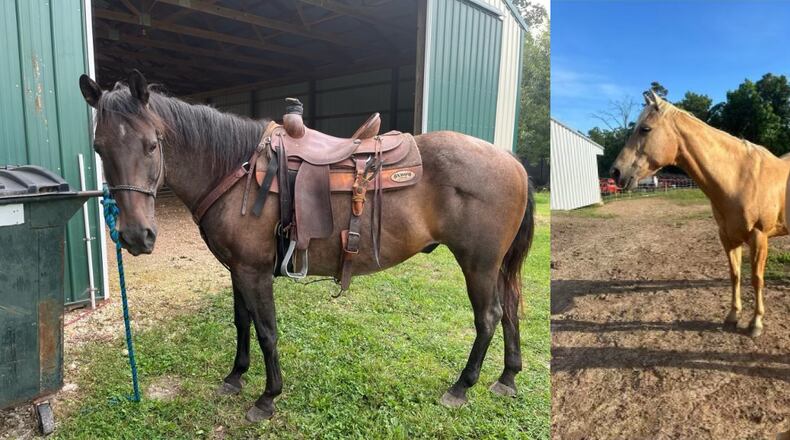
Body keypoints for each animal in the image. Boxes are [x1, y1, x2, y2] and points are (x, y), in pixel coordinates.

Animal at [78, 71, 535, 421]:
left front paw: (267, 398)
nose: (135, 236)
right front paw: (235, 377)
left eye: (152, 145)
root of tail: (512, 161)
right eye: (99, 148)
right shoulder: (236, 268)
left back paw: (462, 386)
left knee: (489, 317)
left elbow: (266, 330)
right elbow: (241, 322)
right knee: (511, 310)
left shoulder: (253, 271)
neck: (237, 170)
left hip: (478, 263)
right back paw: (507, 378)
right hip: (495, 265)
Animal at [611, 90, 790, 338]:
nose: (615, 172)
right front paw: (733, 317)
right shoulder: (727, 237)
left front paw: (756, 323)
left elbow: (756, 279)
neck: (740, 178)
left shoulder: (759, 237)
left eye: (645, 129)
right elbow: (735, 275)